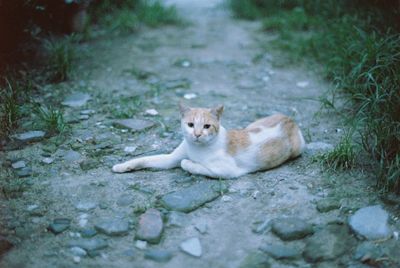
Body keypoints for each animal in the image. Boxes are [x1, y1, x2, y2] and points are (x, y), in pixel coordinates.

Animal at [112, 103, 306, 179]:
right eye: (190, 124)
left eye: (206, 126)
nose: (197, 134)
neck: (195, 148)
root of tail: (290, 119)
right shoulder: (169, 159)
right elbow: (145, 159)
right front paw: (122, 166)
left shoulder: (227, 171)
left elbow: (188, 164)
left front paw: (189, 163)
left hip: (297, 149)